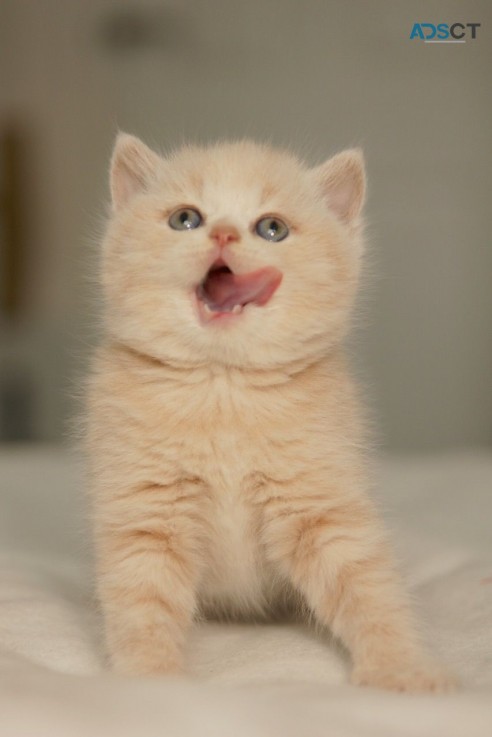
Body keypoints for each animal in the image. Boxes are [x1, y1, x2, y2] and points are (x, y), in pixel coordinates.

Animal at [86, 132, 456, 688]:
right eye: (185, 219)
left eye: (271, 228)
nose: (222, 233)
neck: (224, 389)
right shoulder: (147, 515)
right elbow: (143, 605)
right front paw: (154, 681)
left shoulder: (322, 507)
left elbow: (368, 589)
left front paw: (400, 669)